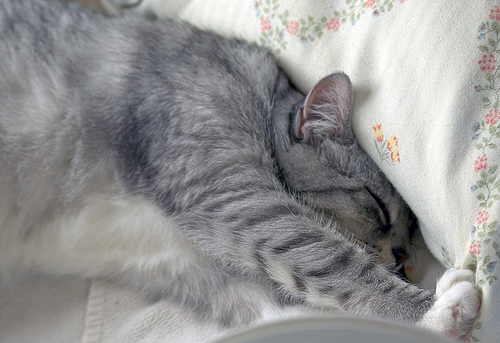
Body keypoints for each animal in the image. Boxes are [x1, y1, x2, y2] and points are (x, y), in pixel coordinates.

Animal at [0, 0, 478, 340]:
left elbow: (277, 310)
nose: (402, 256)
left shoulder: (182, 259)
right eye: (377, 205)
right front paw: (437, 309)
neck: (259, 98)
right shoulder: (239, 196)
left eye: (412, 235)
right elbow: (334, 260)